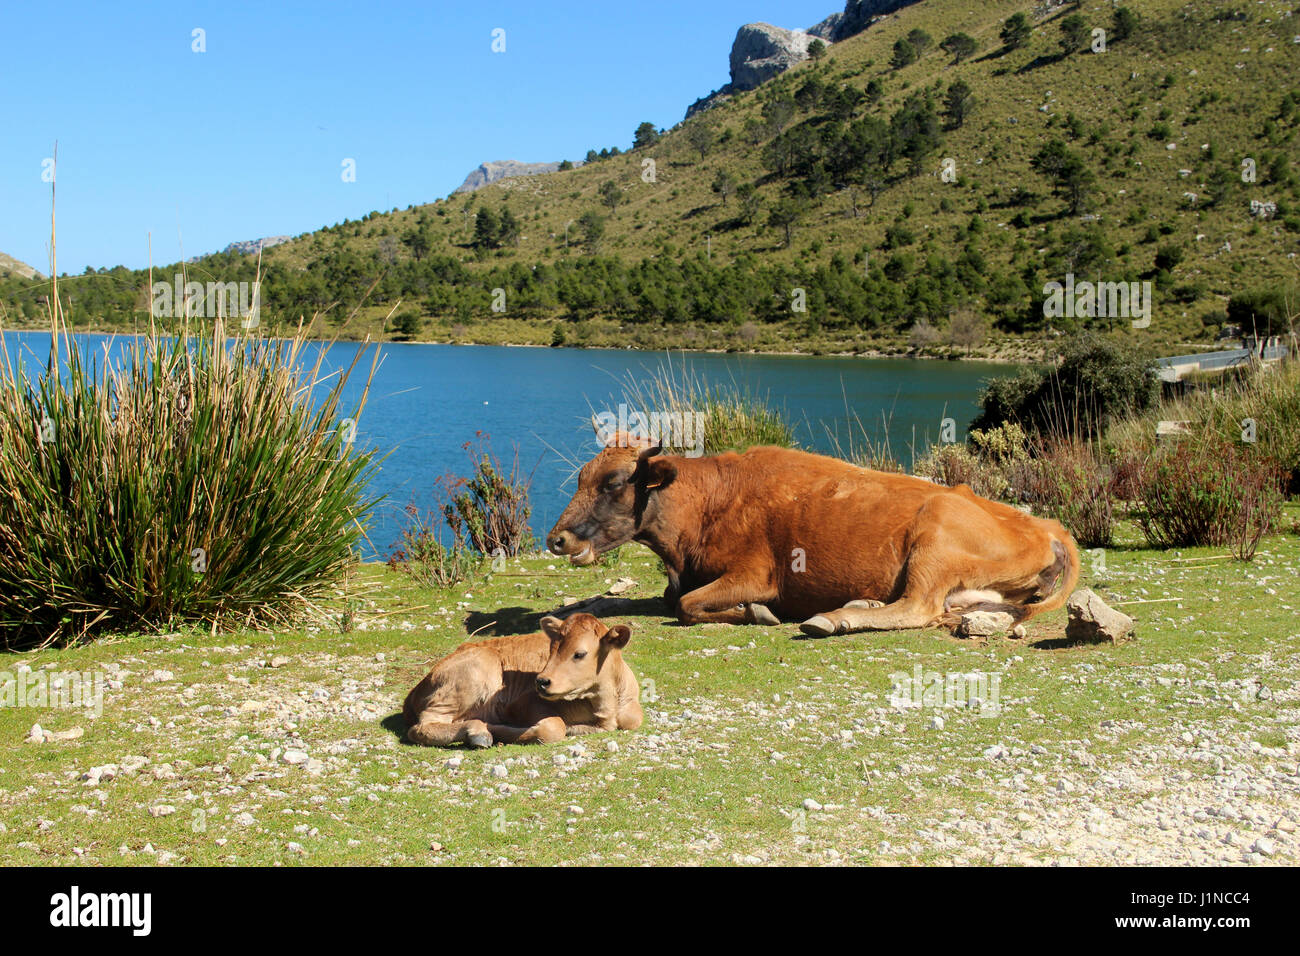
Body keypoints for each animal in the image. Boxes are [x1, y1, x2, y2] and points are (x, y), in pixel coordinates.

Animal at [402, 613, 643, 747]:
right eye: (551, 648)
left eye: (580, 653)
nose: (542, 681)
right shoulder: (521, 703)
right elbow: (554, 727)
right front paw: (496, 728)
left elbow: (633, 718)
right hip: (475, 672)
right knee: (421, 726)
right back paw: (478, 732)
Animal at [546, 430, 1079, 637]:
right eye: (580, 479)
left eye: (614, 483)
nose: (557, 540)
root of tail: (1048, 525)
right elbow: (670, 599)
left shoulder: (756, 575)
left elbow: (688, 605)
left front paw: (755, 613)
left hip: (934, 541)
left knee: (918, 607)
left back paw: (833, 618)